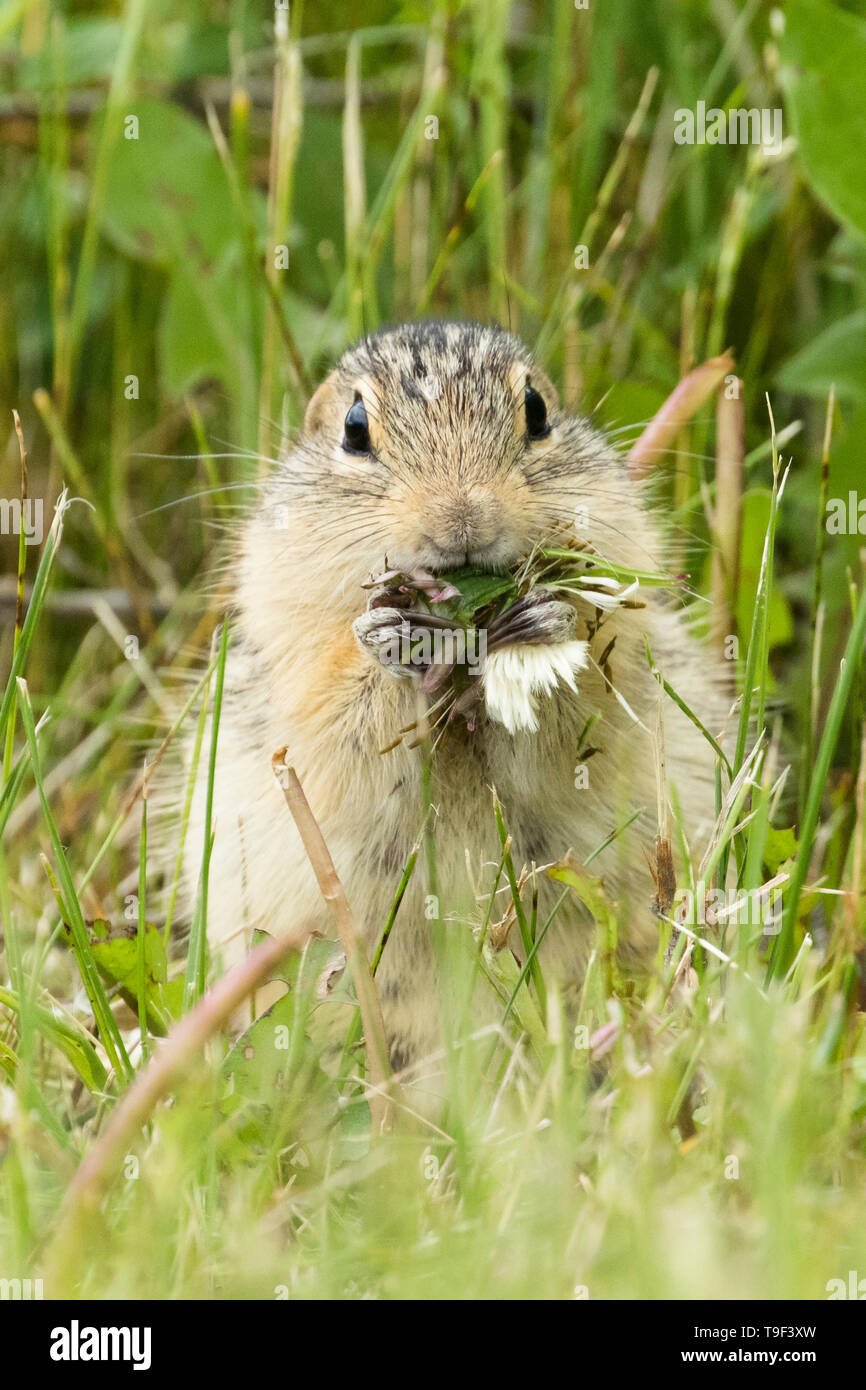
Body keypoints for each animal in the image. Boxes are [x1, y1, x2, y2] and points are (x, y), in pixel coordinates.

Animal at [179, 322, 728, 1073]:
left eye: (536, 412)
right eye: (354, 429)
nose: (463, 518)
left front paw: (541, 620)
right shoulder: (300, 700)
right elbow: (346, 717)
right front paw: (392, 636)